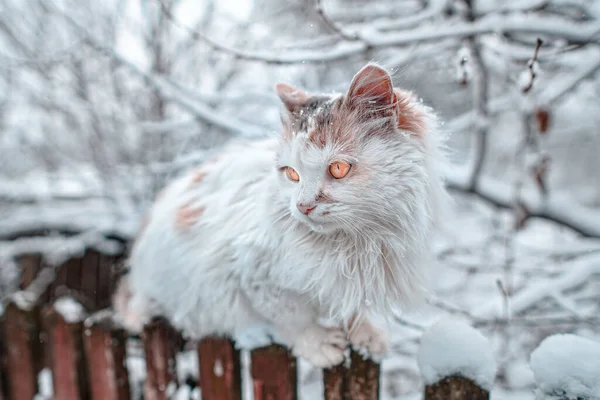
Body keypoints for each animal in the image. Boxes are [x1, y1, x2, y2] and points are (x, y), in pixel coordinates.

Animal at [115, 64, 448, 368]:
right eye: (291, 174)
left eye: (338, 168)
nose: (302, 206)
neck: (355, 242)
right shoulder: (249, 273)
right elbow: (291, 316)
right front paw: (320, 344)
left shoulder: (355, 278)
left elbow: (353, 307)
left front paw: (366, 334)